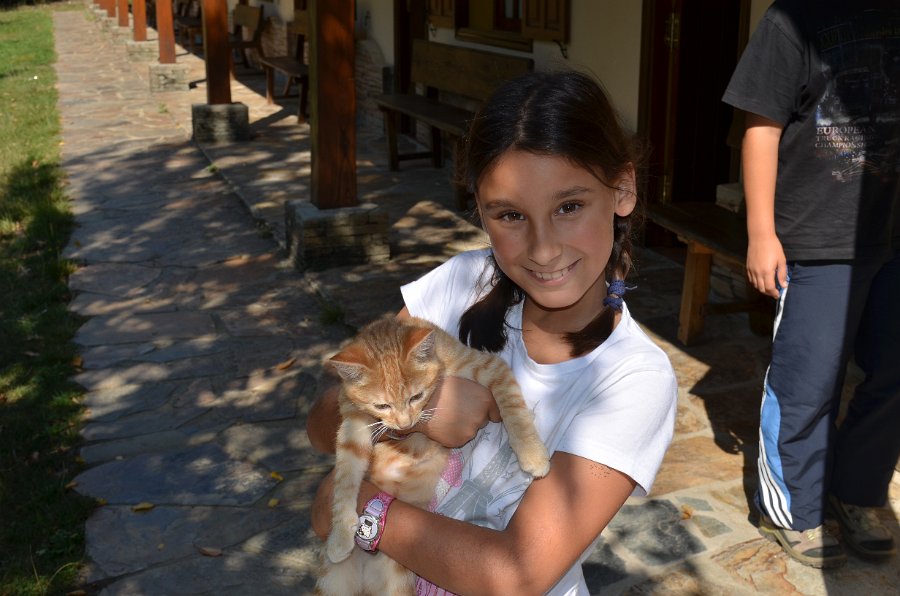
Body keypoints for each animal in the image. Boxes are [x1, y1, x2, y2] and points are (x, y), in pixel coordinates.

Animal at [315, 315, 551, 596]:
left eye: (416, 396)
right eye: (382, 405)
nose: (405, 424)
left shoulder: (488, 366)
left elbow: (512, 406)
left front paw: (531, 452)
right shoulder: (353, 422)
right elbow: (344, 477)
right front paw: (340, 533)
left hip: (396, 581)